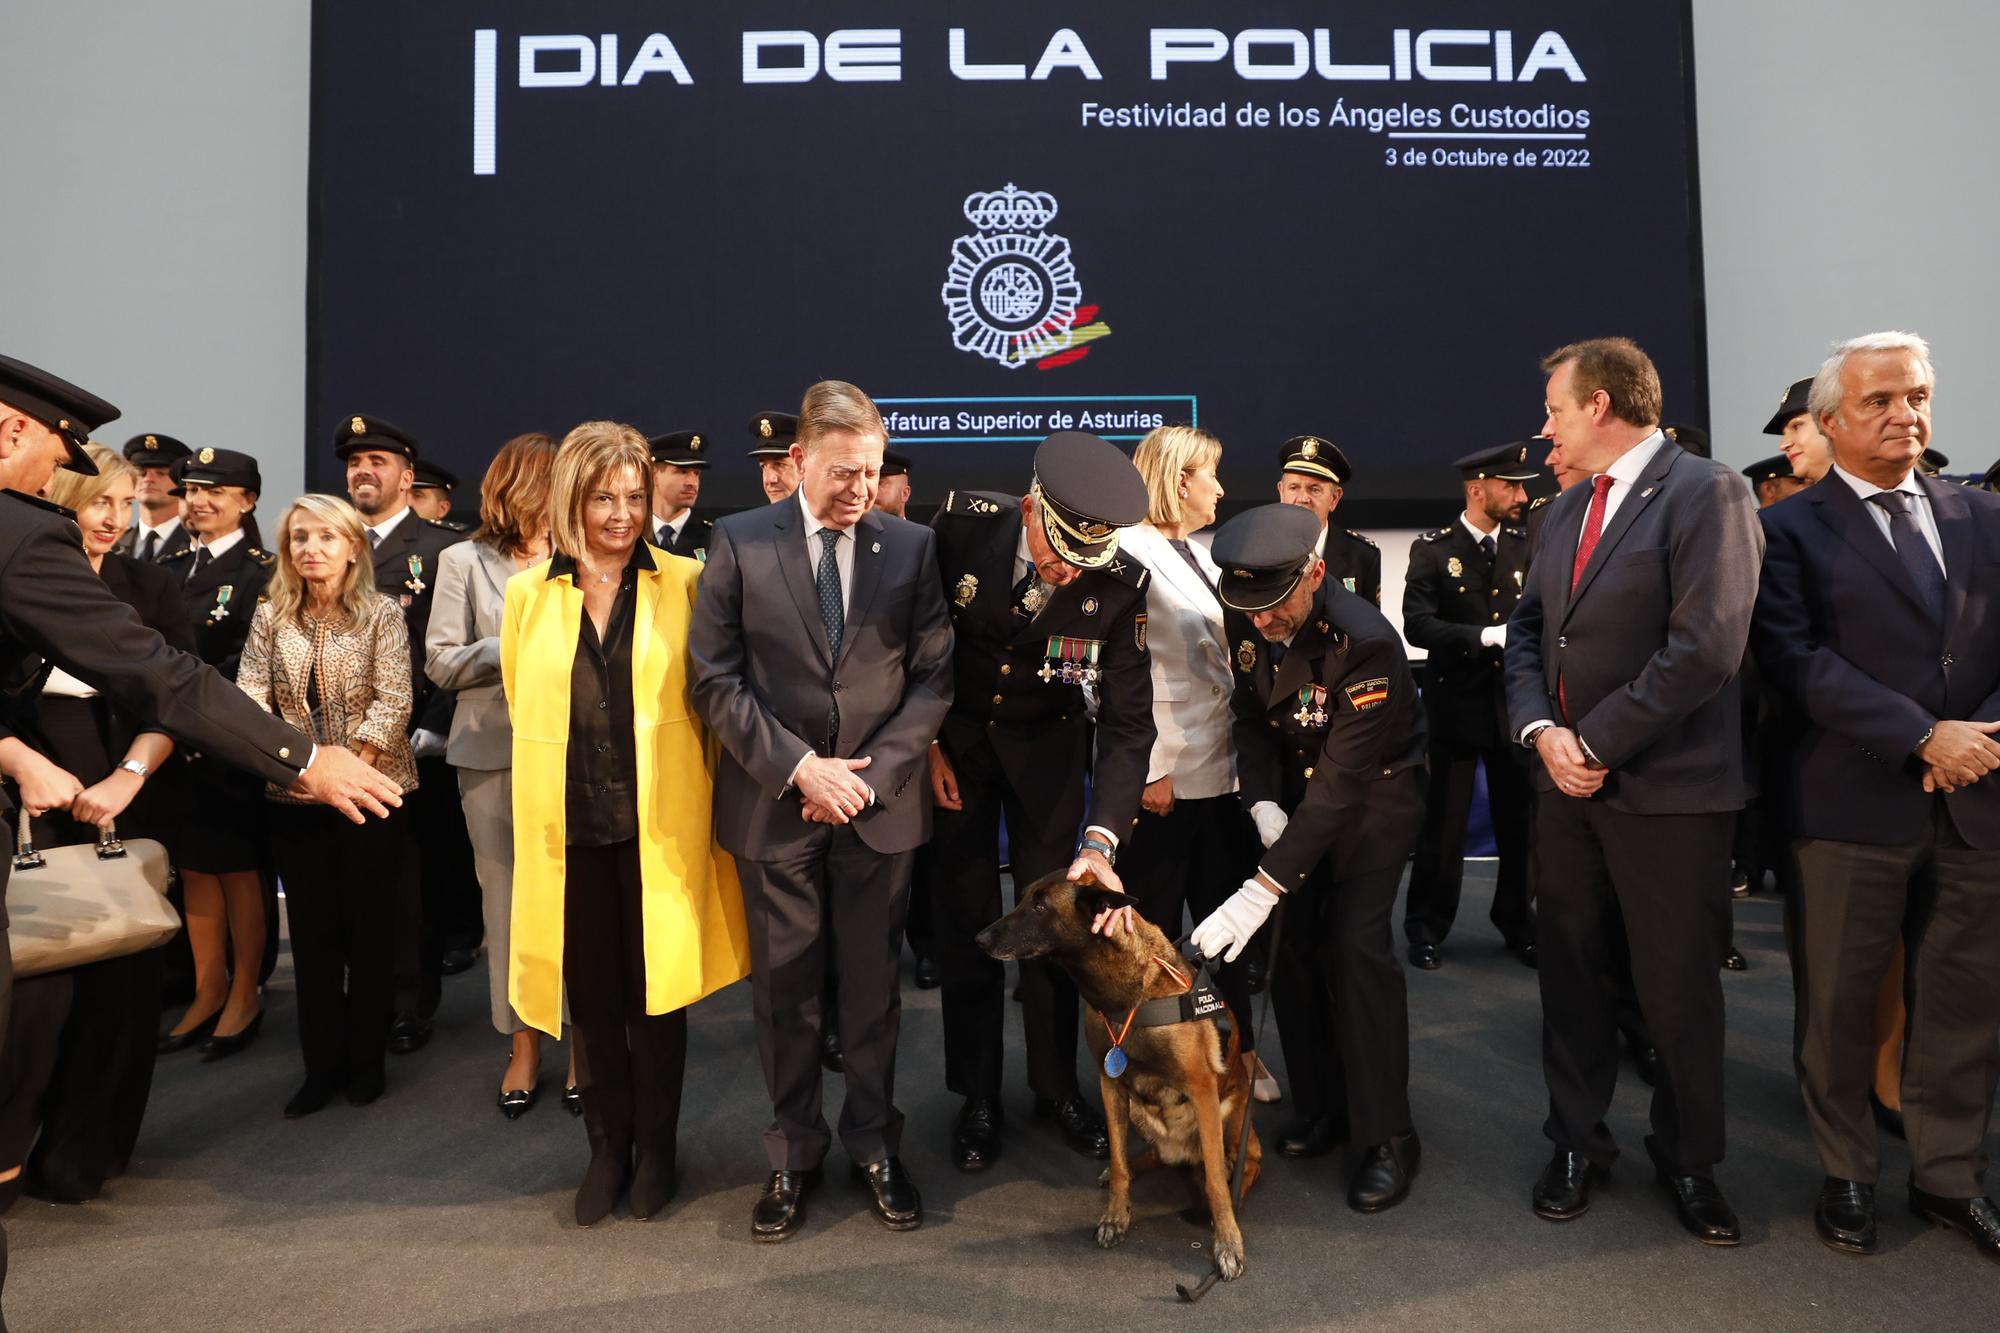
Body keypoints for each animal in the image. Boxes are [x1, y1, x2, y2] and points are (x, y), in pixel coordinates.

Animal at [972, 868, 1264, 1272]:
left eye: (1041, 906)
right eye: (1024, 898)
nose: (979, 939)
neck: (1129, 994)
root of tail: (1181, 1151)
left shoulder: (1202, 1089)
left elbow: (1217, 1181)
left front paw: (1228, 1241)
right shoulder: (1110, 1084)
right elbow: (1119, 1159)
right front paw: (1116, 1215)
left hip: (1231, 1112)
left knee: (1245, 1162)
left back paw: (1236, 1197)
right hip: (1139, 1111)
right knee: (1154, 1154)